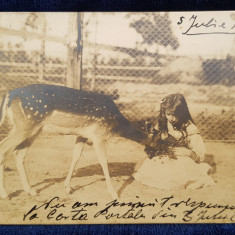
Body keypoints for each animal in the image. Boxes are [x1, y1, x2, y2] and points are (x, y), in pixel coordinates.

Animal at [0, 84, 158, 198]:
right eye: (161, 139)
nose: (155, 154)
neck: (117, 125)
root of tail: (8, 95)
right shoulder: (98, 135)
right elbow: (104, 161)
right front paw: (114, 194)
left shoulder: (82, 135)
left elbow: (75, 157)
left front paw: (67, 187)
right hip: (24, 125)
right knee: (4, 147)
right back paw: (5, 193)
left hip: (34, 129)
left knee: (18, 153)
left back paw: (30, 191)